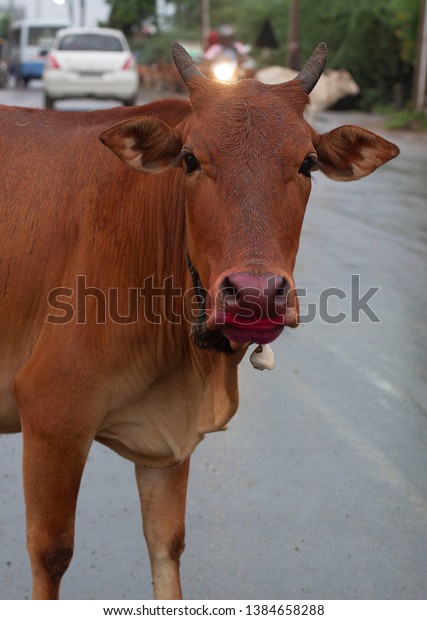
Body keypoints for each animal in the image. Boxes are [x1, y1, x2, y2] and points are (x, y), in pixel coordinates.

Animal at [0, 41, 402, 600]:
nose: (256, 294)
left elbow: (166, 547)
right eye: (189, 159)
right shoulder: (51, 413)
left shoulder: (166, 434)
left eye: (307, 163)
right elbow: (51, 553)